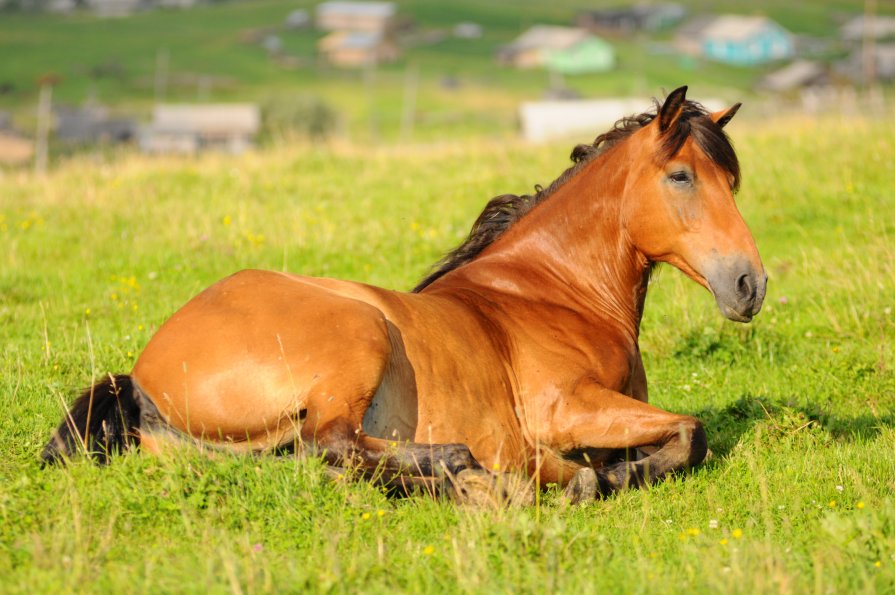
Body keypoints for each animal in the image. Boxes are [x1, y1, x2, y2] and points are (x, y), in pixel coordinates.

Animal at [42, 85, 768, 502]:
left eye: (731, 180)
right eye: (681, 176)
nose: (749, 284)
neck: (553, 293)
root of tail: (141, 379)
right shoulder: (564, 408)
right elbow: (691, 431)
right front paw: (605, 476)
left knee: (324, 464)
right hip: (359, 333)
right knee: (332, 444)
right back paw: (475, 470)